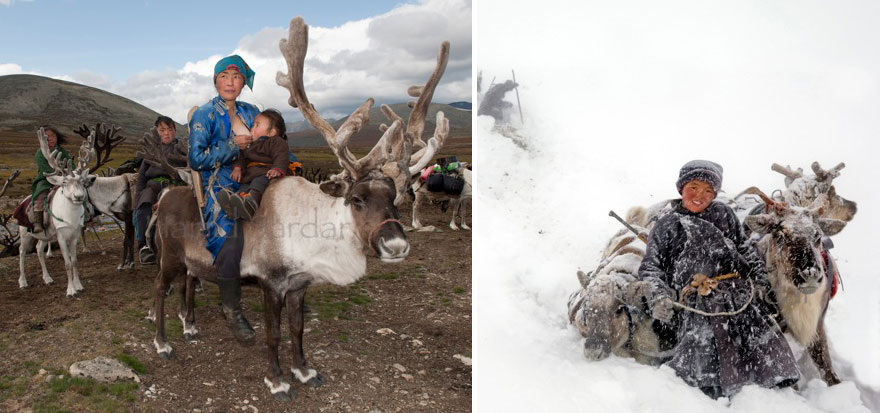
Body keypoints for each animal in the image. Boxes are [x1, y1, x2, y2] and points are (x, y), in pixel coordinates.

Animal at [18, 128, 96, 297]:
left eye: (82, 181)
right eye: (65, 182)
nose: (79, 197)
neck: (71, 217)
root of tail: (23, 200)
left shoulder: (74, 235)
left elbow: (74, 261)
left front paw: (78, 285)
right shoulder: (61, 236)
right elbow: (67, 263)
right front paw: (70, 290)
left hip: (44, 236)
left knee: (39, 250)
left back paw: (47, 278)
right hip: (25, 233)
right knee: (22, 252)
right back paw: (22, 281)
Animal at [148, 16, 450, 401]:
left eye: (395, 197)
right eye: (357, 199)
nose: (395, 245)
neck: (316, 229)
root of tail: (166, 194)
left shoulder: (299, 285)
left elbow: (298, 329)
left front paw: (304, 371)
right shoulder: (271, 283)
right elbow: (273, 334)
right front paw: (277, 380)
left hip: (189, 260)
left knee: (189, 279)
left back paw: (189, 326)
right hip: (169, 255)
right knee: (160, 287)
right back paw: (162, 343)